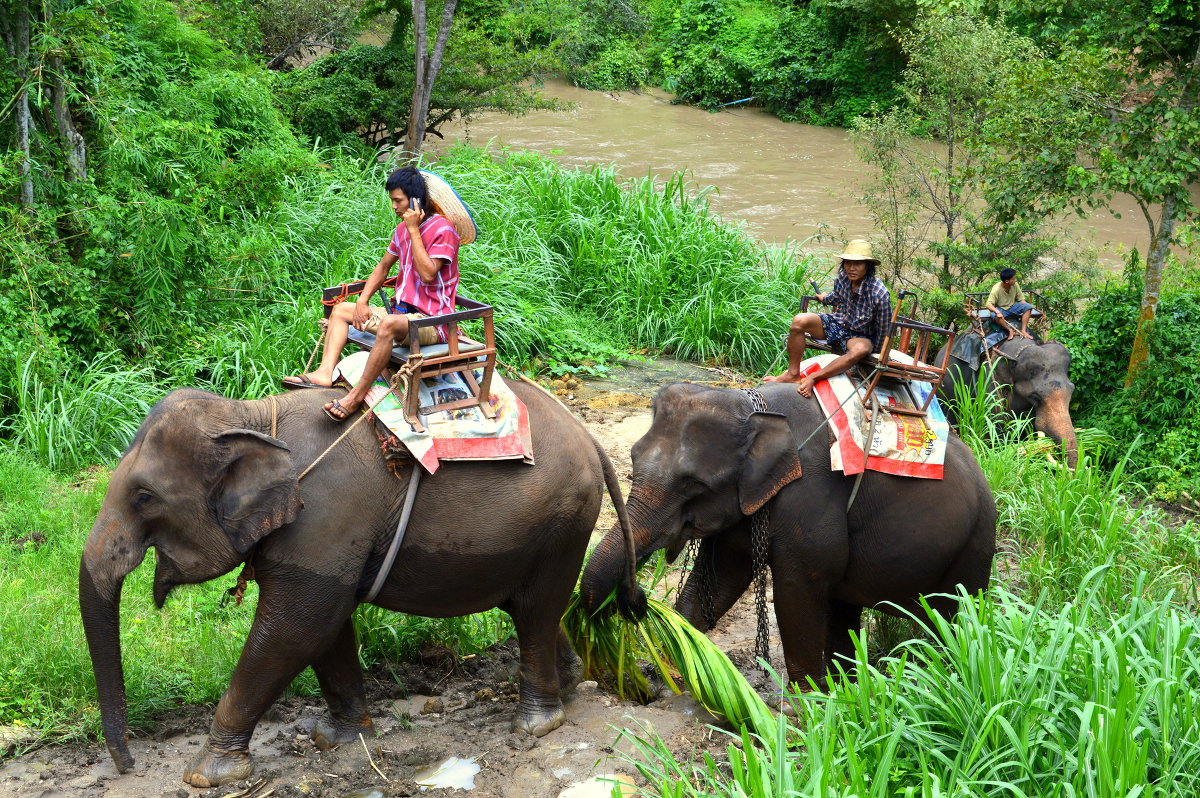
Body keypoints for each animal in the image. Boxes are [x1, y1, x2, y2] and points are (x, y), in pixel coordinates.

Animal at [77, 384, 638, 787]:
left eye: (144, 497)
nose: (127, 766)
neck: (252, 415)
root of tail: (591, 440)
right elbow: (326, 628)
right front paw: (339, 740)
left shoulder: (324, 518)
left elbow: (297, 627)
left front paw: (206, 775)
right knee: (526, 609)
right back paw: (569, 684)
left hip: (563, 521)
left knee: (537, 609)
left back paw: (535, 725)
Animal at [580, 379, 993, 686]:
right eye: (633, 458)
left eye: (693, 485)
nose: (636, 598)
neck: (753, 407)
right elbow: (717, 582)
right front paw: (672, 669)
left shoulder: (810, 496)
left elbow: (798, 592)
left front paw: (806, 707)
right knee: (845, 608)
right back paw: (848, 684)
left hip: (975, 545)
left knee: (956, 616)